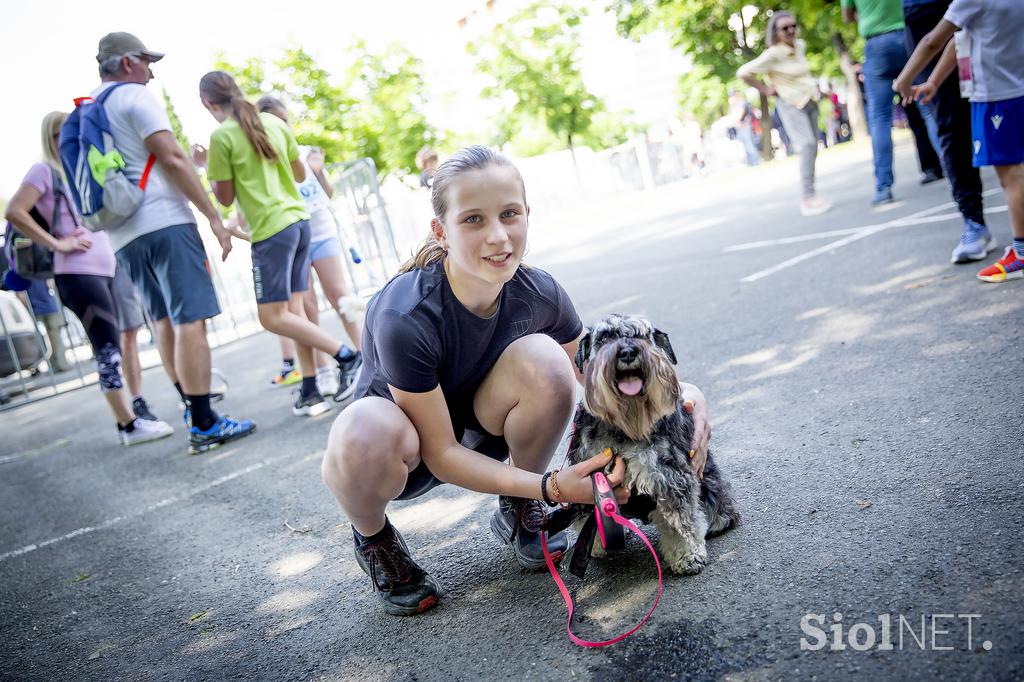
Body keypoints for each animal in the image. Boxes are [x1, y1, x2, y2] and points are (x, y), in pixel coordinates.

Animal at [569, 313, 745, 573]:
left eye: (643, 335)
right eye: (605, 337)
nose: (628, 352)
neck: (625, 424)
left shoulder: (669, 475)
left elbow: (681, 521)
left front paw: (687, 555)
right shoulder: (589, 470)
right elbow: (588, 513)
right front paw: (596, 543)